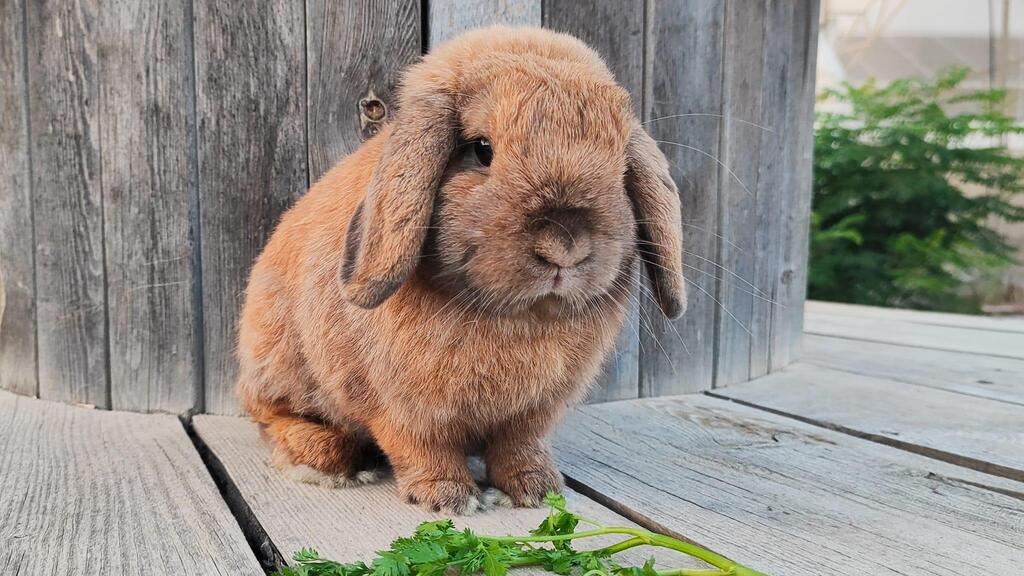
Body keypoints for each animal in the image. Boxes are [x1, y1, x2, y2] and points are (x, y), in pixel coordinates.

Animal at [235, 25, 685, 514]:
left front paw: (536, 489)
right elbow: (421, 447)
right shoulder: (401, 407)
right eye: (481, 150)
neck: (516, 316)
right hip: (279, 368)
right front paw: (447, 497)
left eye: (620, 165)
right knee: (272, 417)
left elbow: (518, 447)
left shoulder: (532, 412)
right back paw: (324, 459)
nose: (564, 247)